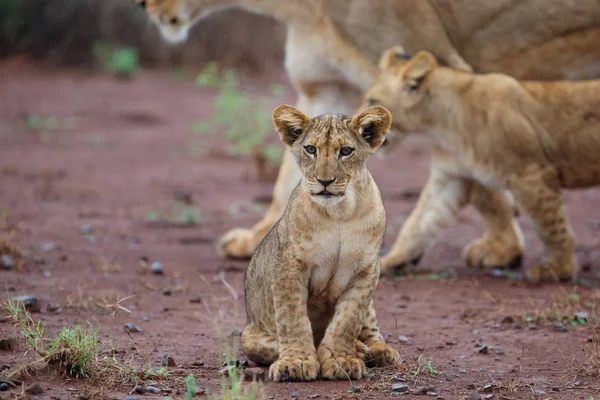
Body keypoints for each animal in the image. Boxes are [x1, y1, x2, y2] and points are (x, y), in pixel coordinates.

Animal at [136, 0, 600, 262]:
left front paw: (505, 250)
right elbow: (288, 173)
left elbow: (478, 176)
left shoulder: (438, 57)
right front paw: (264, 237)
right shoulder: (322, 85)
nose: (141, 3)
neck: (302, 10)